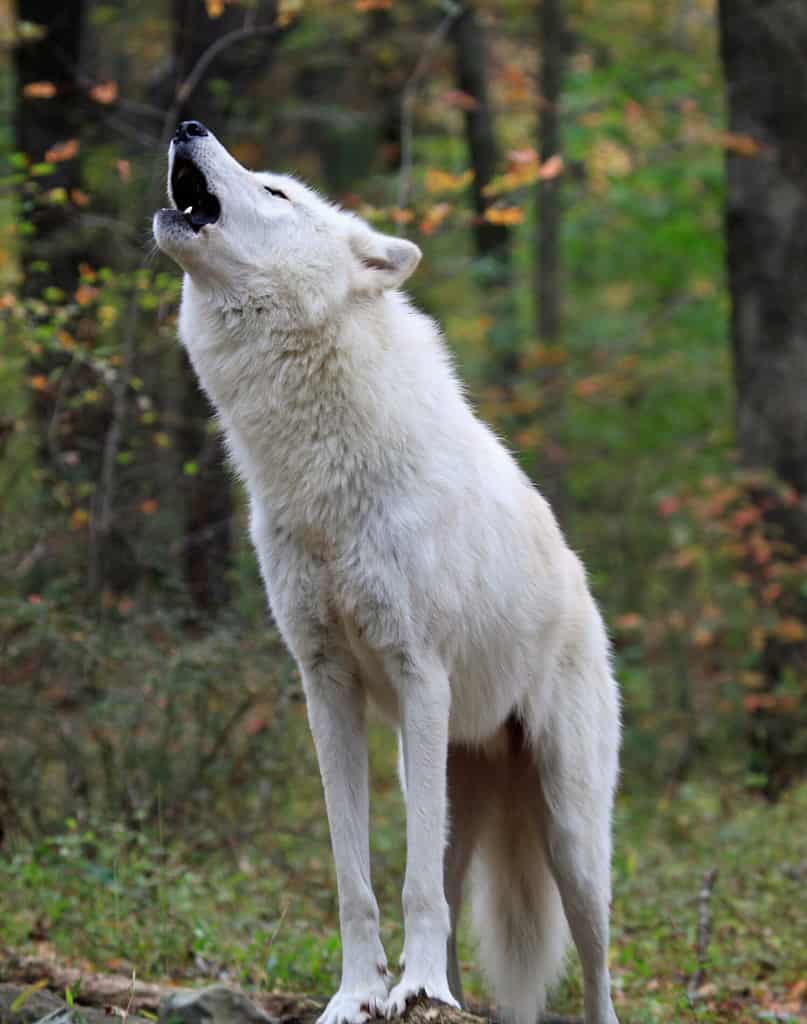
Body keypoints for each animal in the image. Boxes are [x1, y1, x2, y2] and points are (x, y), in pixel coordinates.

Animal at [154, 121, 621, 1024]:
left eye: (276, 191)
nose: (188, 127)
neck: (313, 475)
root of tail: (587, 595)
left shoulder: (419, 673)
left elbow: (411, 889)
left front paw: (415, 987)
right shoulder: (324, 683)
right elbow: (356, 881)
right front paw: (359, 994)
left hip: (570, 836)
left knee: (591, 962)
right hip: (440, 777)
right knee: (452, 895)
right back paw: (443, 994)